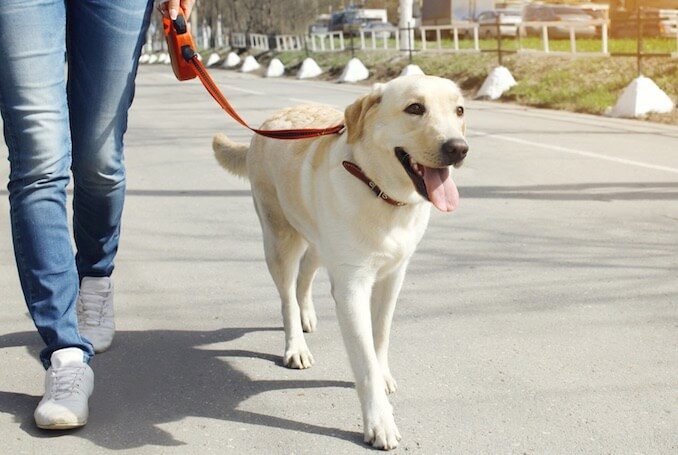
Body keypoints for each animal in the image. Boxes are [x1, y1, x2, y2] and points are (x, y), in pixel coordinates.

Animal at [212, 76, 468, 450]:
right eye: (415, 108)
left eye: (459, 110)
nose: (458, 148)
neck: (380, 192)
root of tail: (269, 122)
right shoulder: (352, 287)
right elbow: (364, 361)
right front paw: (380, 422)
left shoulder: (393, 276)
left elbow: (380, 337)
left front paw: (383, 373)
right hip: (279, 239)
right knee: (287, 296)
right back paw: (296, 345)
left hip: (319, 240)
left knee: (305, 276)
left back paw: (306, 315)